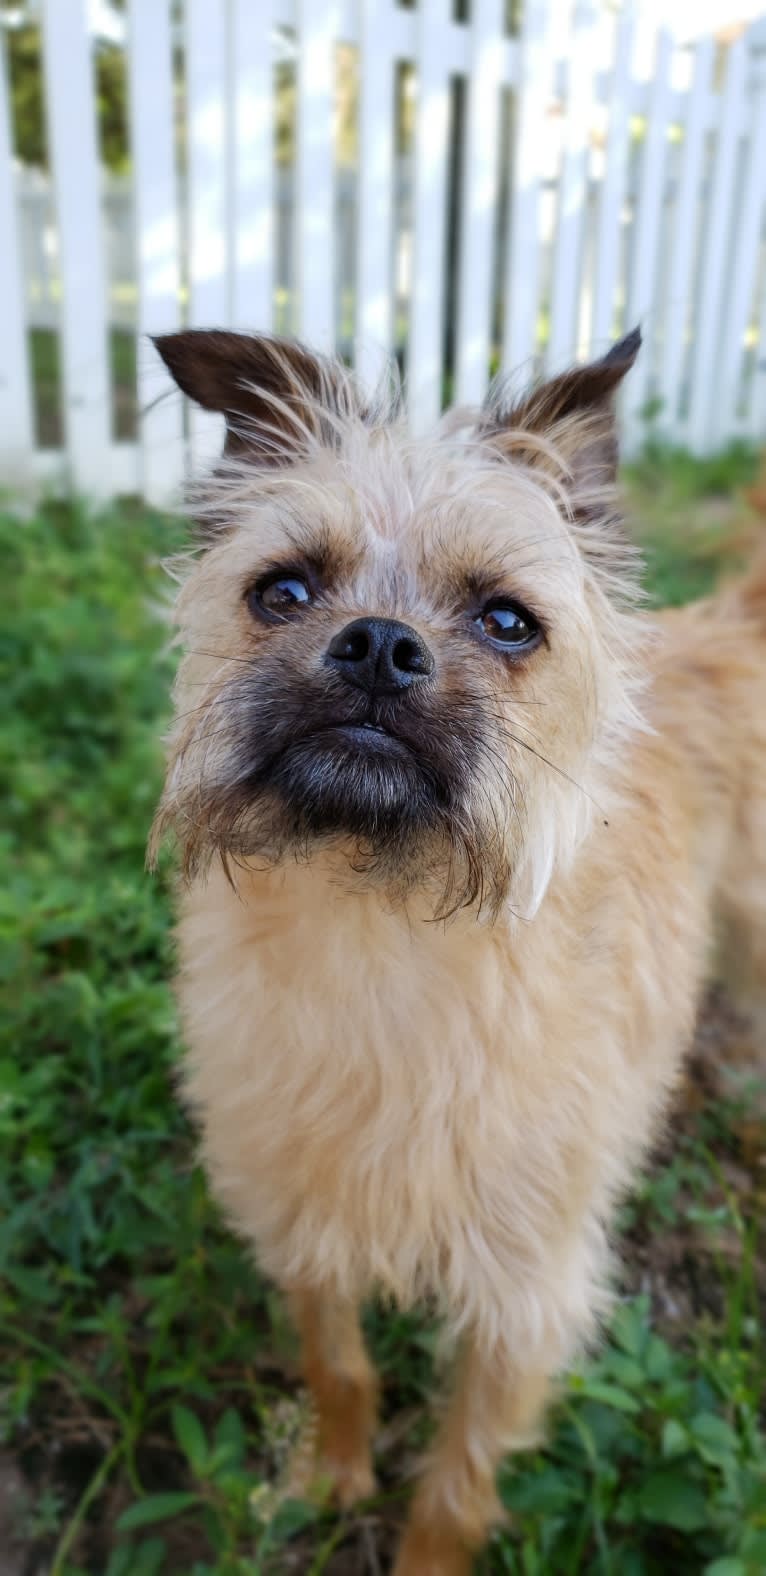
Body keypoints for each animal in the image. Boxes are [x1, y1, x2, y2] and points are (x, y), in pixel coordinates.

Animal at [149, 326, 766, 1569]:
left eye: (507, 620)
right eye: (282, 590)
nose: (379, 647)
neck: (382, 934)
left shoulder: (524, 1294)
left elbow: (458, 1472)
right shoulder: (304, 1219)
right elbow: (338, 1363)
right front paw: (332, 1478)